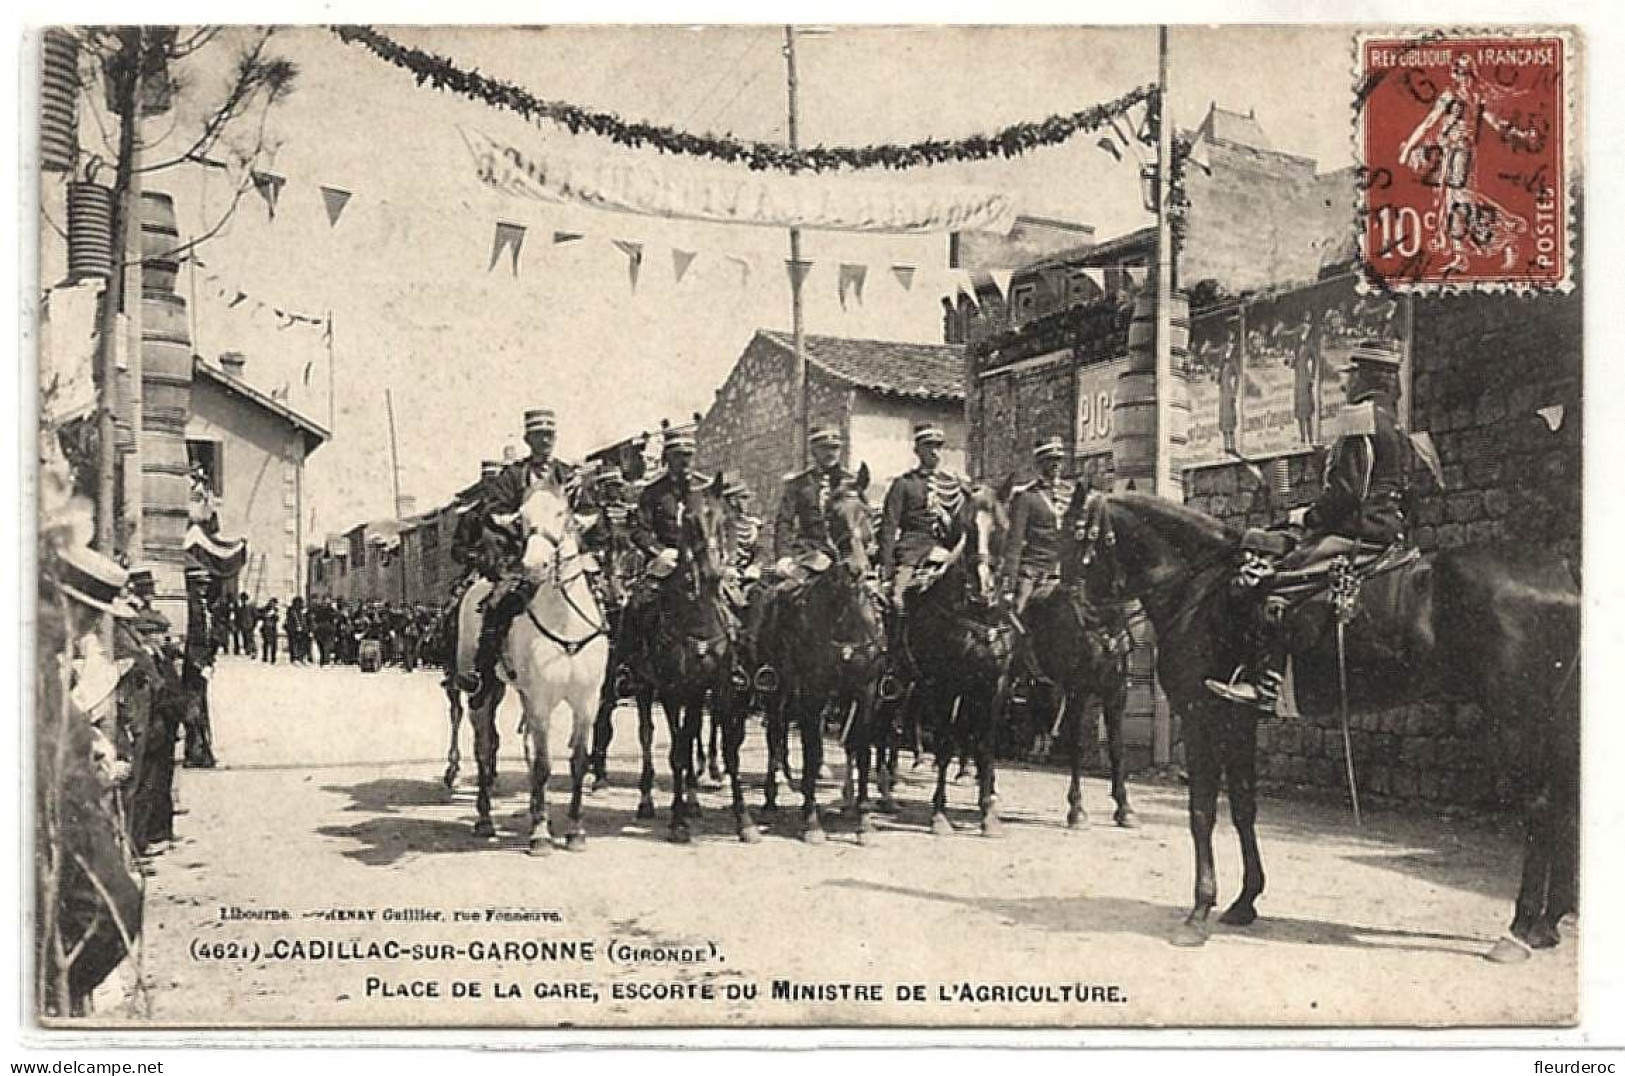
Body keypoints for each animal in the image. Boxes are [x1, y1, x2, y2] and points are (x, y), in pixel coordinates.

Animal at [461, 484, 611, 858]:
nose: (534, 565)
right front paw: (540, 834)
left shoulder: (586, 703)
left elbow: (578, 762)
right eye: (522, 520)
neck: (565, 622)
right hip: (484, 691)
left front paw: (575, 831)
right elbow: (543, 766)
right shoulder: (542, 701)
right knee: (484, 747)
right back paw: (484, 818)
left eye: (560, 514)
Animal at [1085, 497, 1579, 962]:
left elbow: (1202, 812)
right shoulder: (1235, 721)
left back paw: (1517, 931)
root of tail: (1563, 573)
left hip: (1516, 721)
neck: (1199, 589)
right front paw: (1245, 901)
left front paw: (1198, 912)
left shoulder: (1201, 716)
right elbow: (1243, 809)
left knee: (1540, 808)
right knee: (1566, 805)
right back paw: (1548, 924)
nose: (1098, 633)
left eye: (1081, 537)